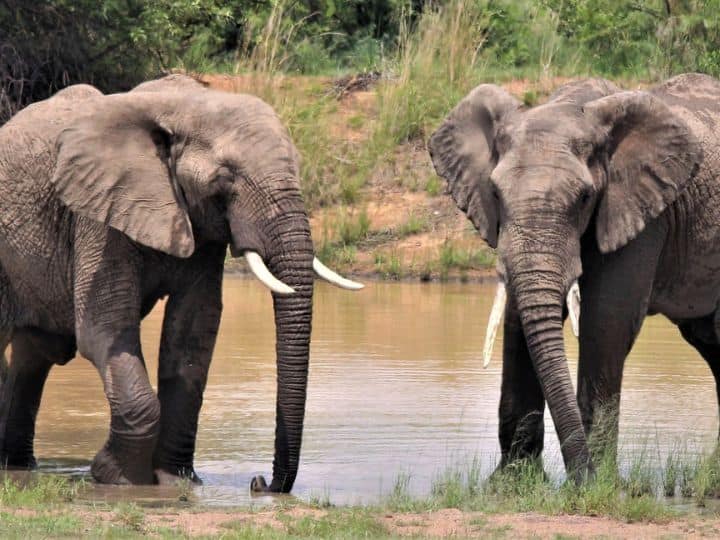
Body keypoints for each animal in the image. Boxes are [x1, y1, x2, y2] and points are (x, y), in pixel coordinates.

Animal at [0, 74, 363, 492]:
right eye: (224, 179)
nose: (259, 483)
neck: (182, 104)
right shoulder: (97, 216)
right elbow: (103, 329)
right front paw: (117, 478)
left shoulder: (202, 228)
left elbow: (192, 333)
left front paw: (176, 481)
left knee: (34, 353)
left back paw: (17, 464)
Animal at [428, 73, 720, 480]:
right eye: (496, 194)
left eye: (584, 197)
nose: (582, 475)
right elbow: (519, 320)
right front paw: (511, 482)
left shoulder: (641, 211)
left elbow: (606, 319)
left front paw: (597, 484)